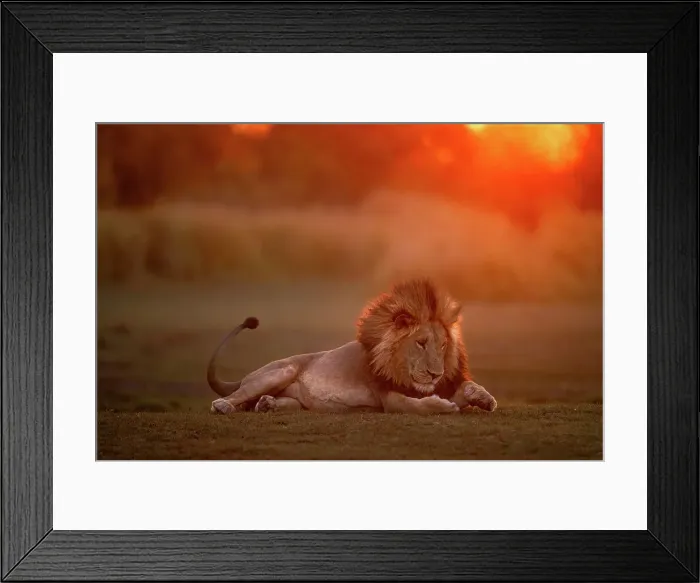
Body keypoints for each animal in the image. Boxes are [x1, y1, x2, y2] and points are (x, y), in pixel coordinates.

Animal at [208, 278, 497, 415]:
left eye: (444, 345)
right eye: (421, 343)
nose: (436, 374)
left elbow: (468, 387)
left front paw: (484, 398)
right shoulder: (387, 396)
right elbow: (413, 406)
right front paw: (442, 406)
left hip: (295, 400)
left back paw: (267, 405)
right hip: (281, 371)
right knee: (234, 397)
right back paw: (224, 406)